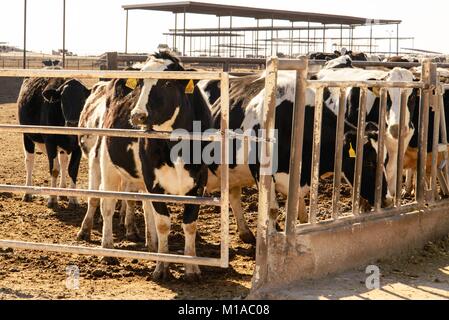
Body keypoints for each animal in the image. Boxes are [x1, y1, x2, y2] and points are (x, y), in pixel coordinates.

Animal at [17, 77, 90, 208]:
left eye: (83, 100)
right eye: (63, 99)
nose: (72, 123)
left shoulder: (78, 146)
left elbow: (73, 170)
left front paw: (73, 199)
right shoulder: (50, 142)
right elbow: (55, 170)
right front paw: (52, 199)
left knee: (63, 162)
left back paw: (62, 191)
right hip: (27, 135)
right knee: (29, 161)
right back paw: (27, 193)